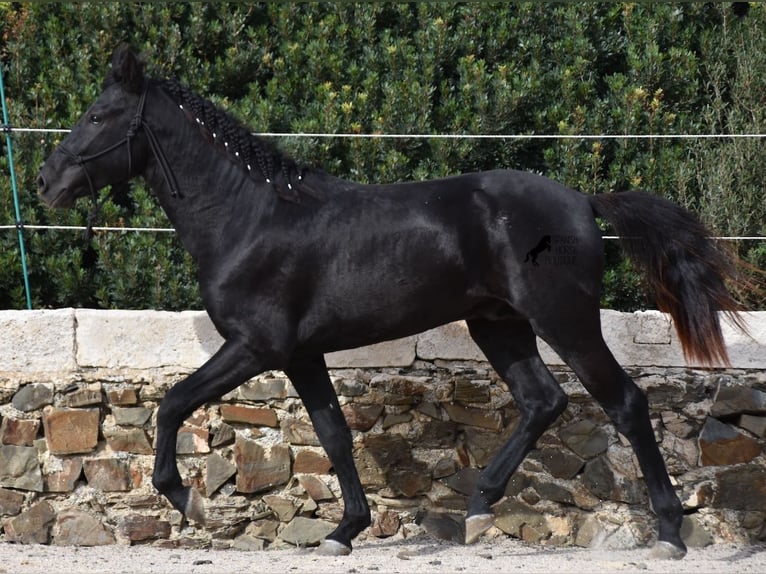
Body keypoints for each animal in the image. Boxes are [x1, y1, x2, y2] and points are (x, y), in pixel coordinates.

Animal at [39, 47, 748, 560]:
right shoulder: (300, 354)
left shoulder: (255, 346)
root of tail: (582, 200)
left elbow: (173, 402)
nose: (47, 181)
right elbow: (333, 433)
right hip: (499, 324)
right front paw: (343, 531)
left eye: (99, 116)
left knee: (624, 403)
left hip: (565, 322)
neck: (249, 217)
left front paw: (186, 499)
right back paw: (479, 504)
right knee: (542, 400)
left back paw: (668, 533)